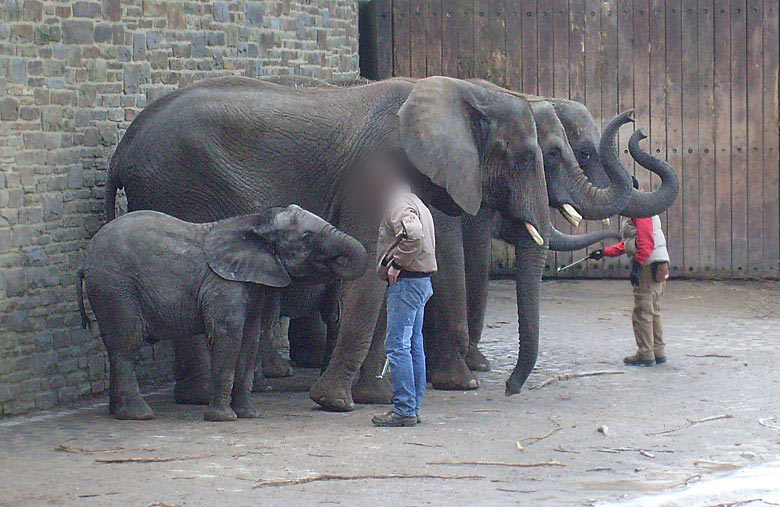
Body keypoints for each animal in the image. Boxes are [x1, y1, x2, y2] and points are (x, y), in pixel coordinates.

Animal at [79, 205, 368, 420]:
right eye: (307, 238)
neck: (255, 221)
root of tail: (85, 259)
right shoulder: (223, 284)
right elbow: (228, 335)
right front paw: (223, 418)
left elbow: (250, 338)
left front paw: (249, 414)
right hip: (115, 287)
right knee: (127, 345)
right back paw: (139, 414)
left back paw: (118, 412)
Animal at [105, 75, 548, 412]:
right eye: (526, 158)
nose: (510, 389)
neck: (461, 92)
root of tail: (123, 147)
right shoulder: (372, 177)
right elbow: (370, 273)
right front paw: (334, 402)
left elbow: (383, 271)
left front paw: (372, 397)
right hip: (175, 188)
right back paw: (202, 399)